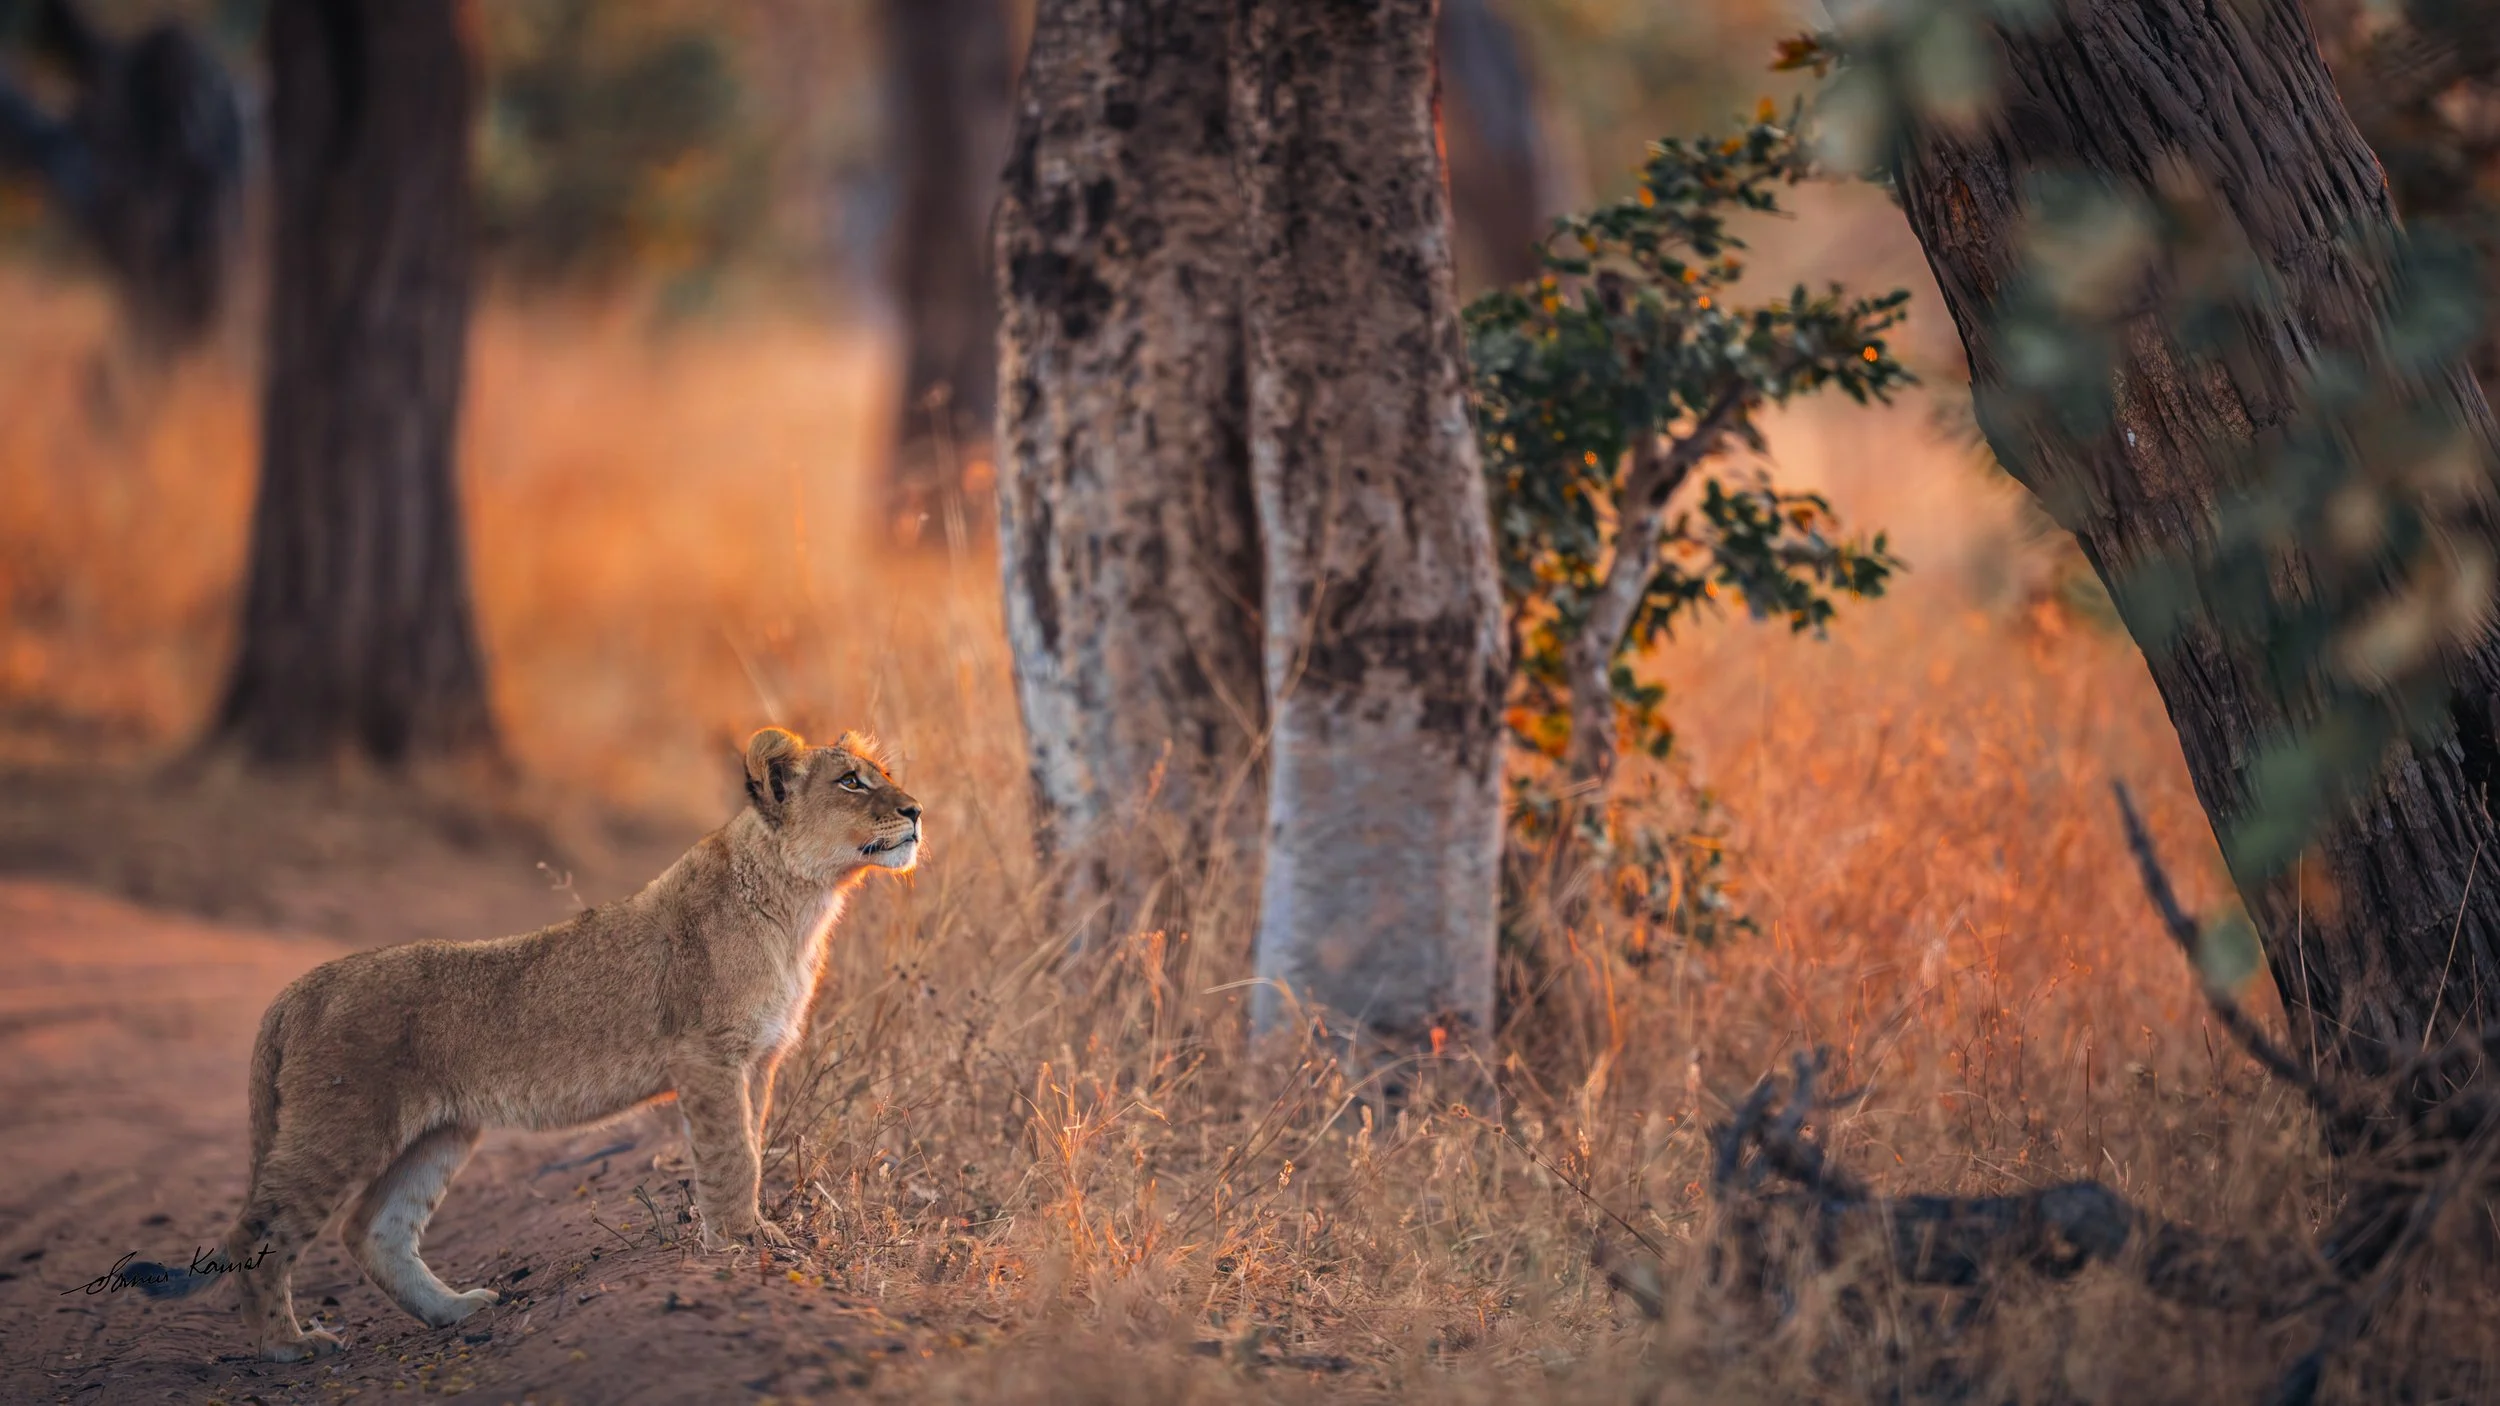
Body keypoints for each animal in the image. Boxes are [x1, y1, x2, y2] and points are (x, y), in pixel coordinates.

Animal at [206, 727, 919, 1362]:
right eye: (851, 782)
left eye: (882, 774)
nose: (916, 810)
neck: (800, 903)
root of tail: (301, 988)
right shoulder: (710, 1057)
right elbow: (732, 1156)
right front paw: (743, 1243)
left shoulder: (760, 1061)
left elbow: (750, 1143)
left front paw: (748, 1233)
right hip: (341, 1127)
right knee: (255, 1229)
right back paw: (286, 1345)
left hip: (439, 1134)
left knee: (373, 1230)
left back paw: (455, 1310)